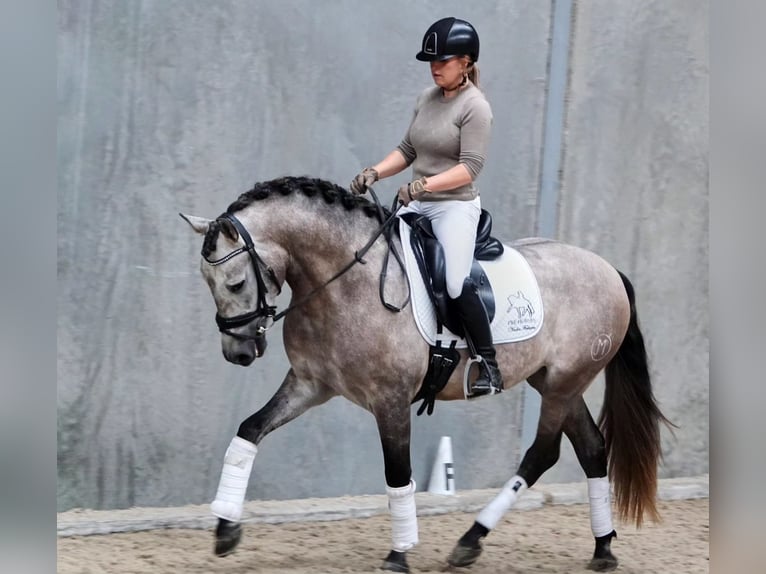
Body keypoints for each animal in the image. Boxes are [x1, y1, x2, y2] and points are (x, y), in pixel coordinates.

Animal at [180, 176, 672, 573]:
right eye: (207, 282)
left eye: (236, 282)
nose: (238, 353)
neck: (344, 281)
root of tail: (608, 269)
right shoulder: (310, 385)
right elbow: (250, 430)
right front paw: (225, 529)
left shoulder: (391, 400)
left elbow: (398, 475)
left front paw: (398, 555)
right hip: (554, 381)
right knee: (591, 448)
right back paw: (602, 549)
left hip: (565, 383)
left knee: (542, 454)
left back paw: (470, 541)